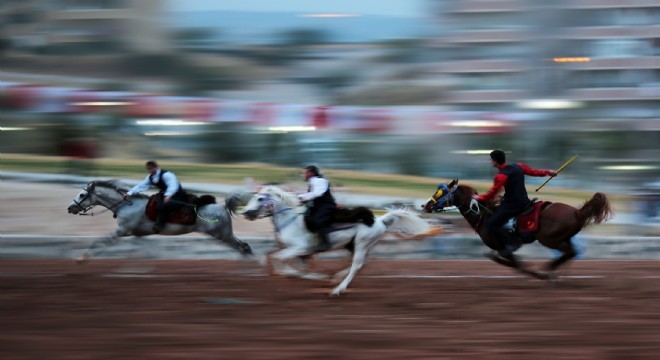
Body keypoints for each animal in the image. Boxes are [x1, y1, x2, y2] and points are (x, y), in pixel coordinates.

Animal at [65, 179, 254, 262]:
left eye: (82, 195)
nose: (70, 208)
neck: (126, 205)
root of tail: (223, 207)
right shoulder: (138, 235)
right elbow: (150, 252)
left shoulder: (122, 231)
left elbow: (100, 241)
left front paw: (82, 257)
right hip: (224, 235)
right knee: (243, 247)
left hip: (222, 235)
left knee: (243, 247)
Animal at [241, 184, 434, 296]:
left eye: (260, 198)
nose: (245, 212)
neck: (290, 220)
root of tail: (379, 220)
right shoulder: (302, 254)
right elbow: (294, 267)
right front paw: (316, 276)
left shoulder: (300, 249)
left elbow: (277, 259)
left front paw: (292, 274)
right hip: (358, 245)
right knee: (362, 263)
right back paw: (335, 278)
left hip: (361, 244)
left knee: (356, 266)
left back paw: (337, 289)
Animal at [426, 180, 612, 278]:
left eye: (440, 193)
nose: (425, 205)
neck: (484, 215)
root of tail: (577, 212)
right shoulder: (502, 248)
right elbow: (501, 259)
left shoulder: (504, 246)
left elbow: (508, 261)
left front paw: (534, 272)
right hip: (564, 238)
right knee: (572, 252)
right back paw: (555, 271)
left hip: (549, 239)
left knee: (569, 252)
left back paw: (550, 271)